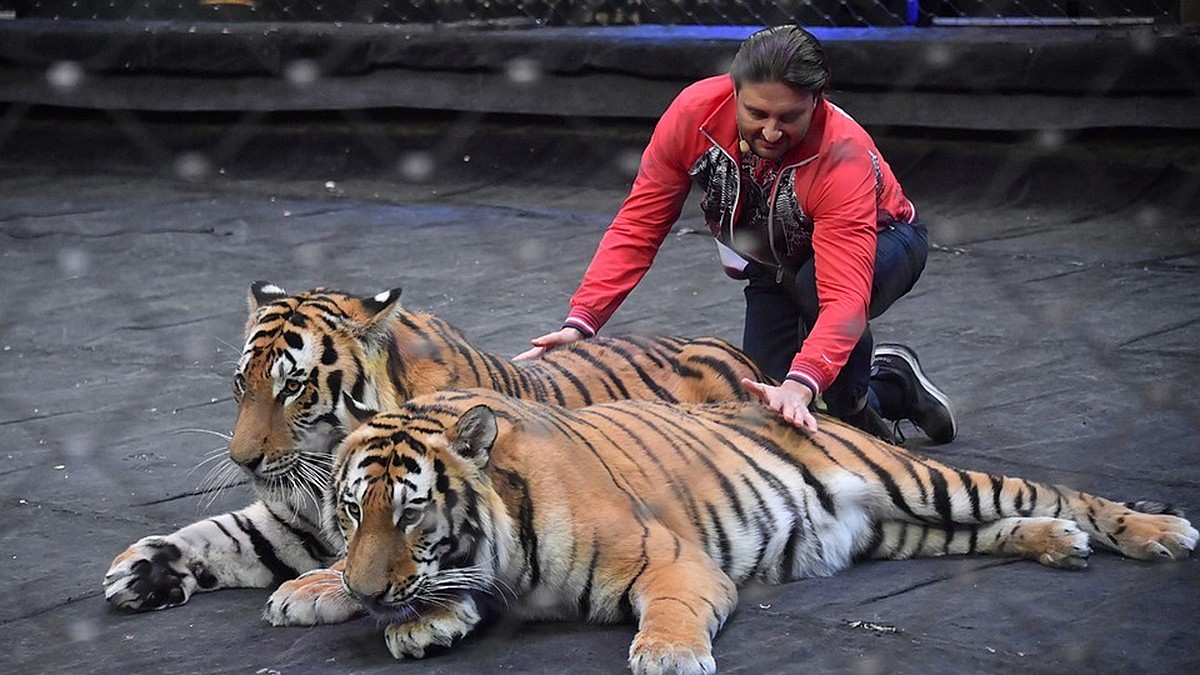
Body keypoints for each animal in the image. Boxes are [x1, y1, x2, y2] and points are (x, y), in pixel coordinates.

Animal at [105, 278, 768, 610]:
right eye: (243, 383)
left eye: (293, 386)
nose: (243, 461)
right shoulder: (295, 516)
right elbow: (223, 534)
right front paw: (140, 571)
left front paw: (310, 589)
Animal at [265, 386, 1200, 672]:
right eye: (351, 510)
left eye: (411, 509)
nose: (368, 589)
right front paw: (327, 591)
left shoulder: (674, 560)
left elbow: (670, 609)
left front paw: (669, 653)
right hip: (910, 530)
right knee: (1007, 524)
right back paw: (1053, 541)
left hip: (929, 483)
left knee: (1062, 492)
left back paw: (1153, 529)